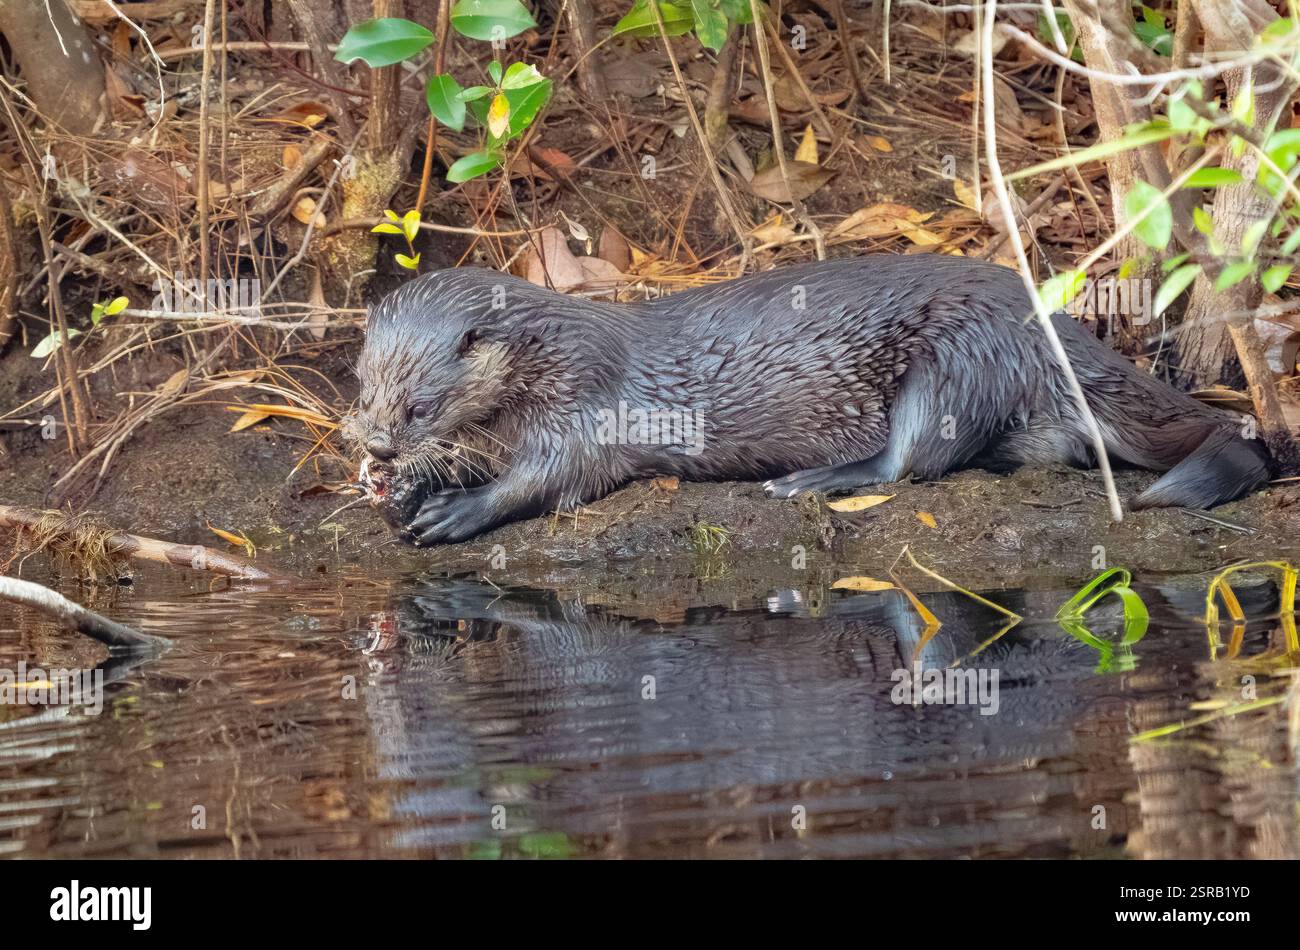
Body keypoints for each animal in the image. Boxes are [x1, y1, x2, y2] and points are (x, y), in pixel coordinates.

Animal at [346, 255, 1272, 545]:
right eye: (362, 390)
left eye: (420, 404)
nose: (380, 448)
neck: (553, 355)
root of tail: (1050, 319)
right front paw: (411, 489)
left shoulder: (587, 405)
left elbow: (555, 478)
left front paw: (458, 510)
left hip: (958, 356)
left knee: (909, 461)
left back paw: (809, 480)